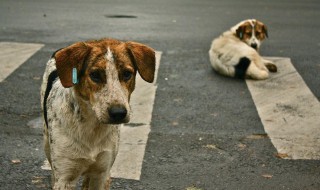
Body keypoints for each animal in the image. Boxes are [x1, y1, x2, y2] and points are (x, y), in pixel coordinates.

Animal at [40, 37, 156, 189]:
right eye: (95, 75)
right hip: (47, 142)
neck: (92, 126)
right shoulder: (65, 178)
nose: (118, 113)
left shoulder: (102, 173)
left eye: (127, 74)